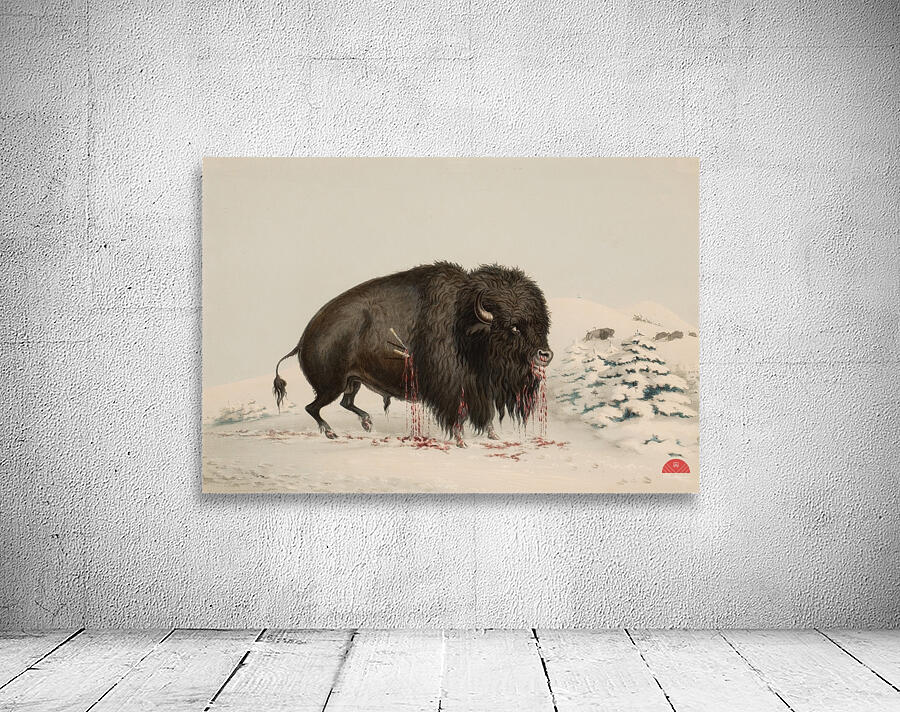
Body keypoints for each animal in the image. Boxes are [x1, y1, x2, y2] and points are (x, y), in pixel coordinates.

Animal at [272, 261, 553, 446]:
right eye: (514, 327)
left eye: (541, 324)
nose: (545, 354)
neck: (465, 323)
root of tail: (304, 339)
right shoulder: (454, 388)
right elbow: (459, 416)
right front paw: (461, 441)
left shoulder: (479, 389)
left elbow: (485, 415)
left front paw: (493, 436)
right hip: (332, 385)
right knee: (314, 407)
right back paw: (331, 432)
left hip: (353, 382)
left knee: (345, 403)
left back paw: (367, 423)